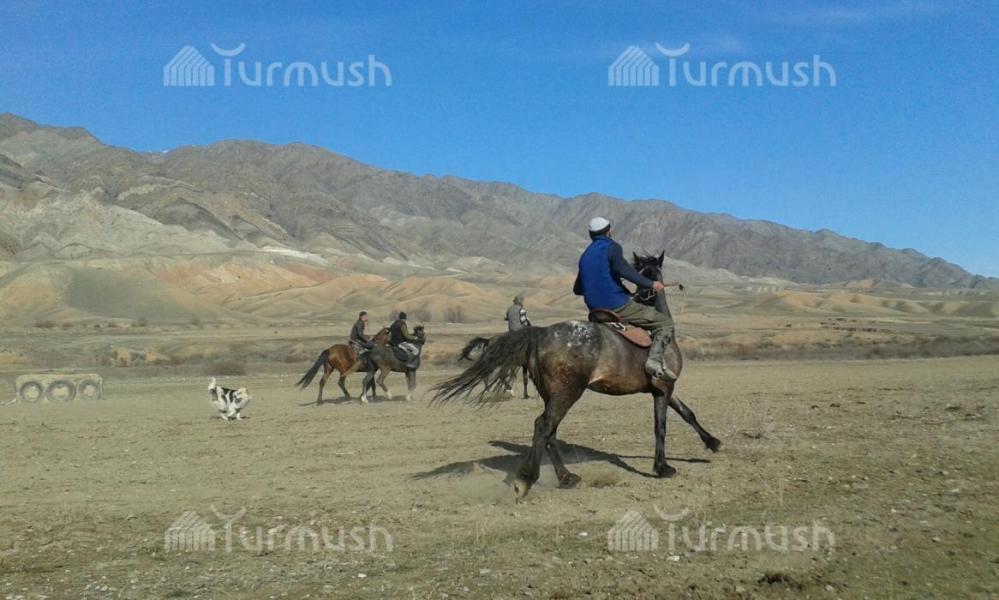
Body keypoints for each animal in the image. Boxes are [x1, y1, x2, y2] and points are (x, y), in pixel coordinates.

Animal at [432, 252, 720, 500]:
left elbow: (687, 412)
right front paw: (663, 468)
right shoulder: (663, 388)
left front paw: (713, 442)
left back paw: (566, 477)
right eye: (648, 272)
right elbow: (661, 426)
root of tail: (541, 334)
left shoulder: (664, 387)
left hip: (552, 394)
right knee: (544, 426)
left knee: (549, 432)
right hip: (568, 392)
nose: (643, 293)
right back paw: (528, 479)